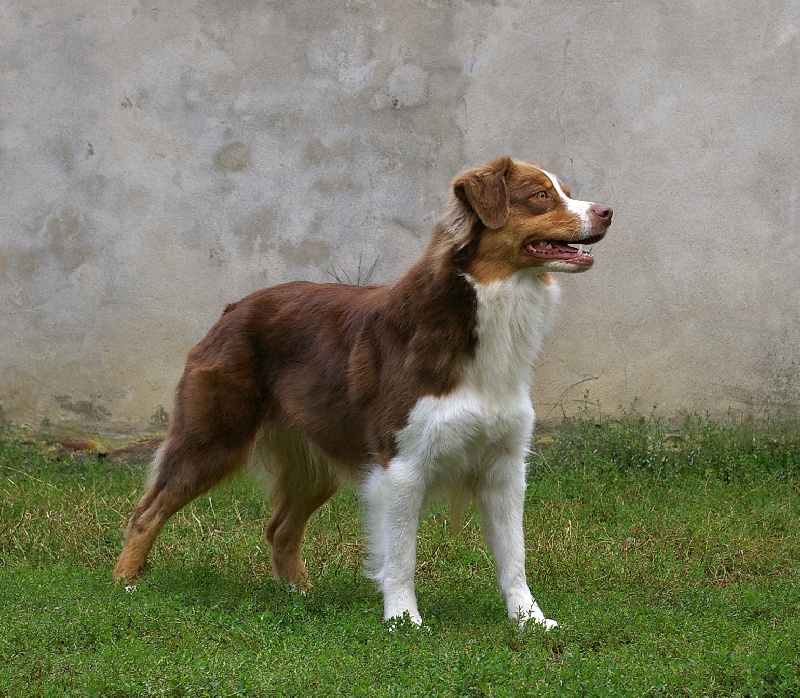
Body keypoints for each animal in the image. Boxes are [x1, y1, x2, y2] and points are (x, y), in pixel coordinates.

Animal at [114, 156, 612, 624]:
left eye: (567, 192)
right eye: (540, 196)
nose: (608, 211)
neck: (483, 302)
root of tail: (233, 308)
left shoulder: (504, 466)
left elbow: (514, 556)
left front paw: (530, 620)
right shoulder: (402, 464)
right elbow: (401, 557)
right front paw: (404, 622)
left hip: (317, 464)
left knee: (279, 529)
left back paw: (299, 594)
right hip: (213, 438)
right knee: (146, 511)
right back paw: (124, 584)